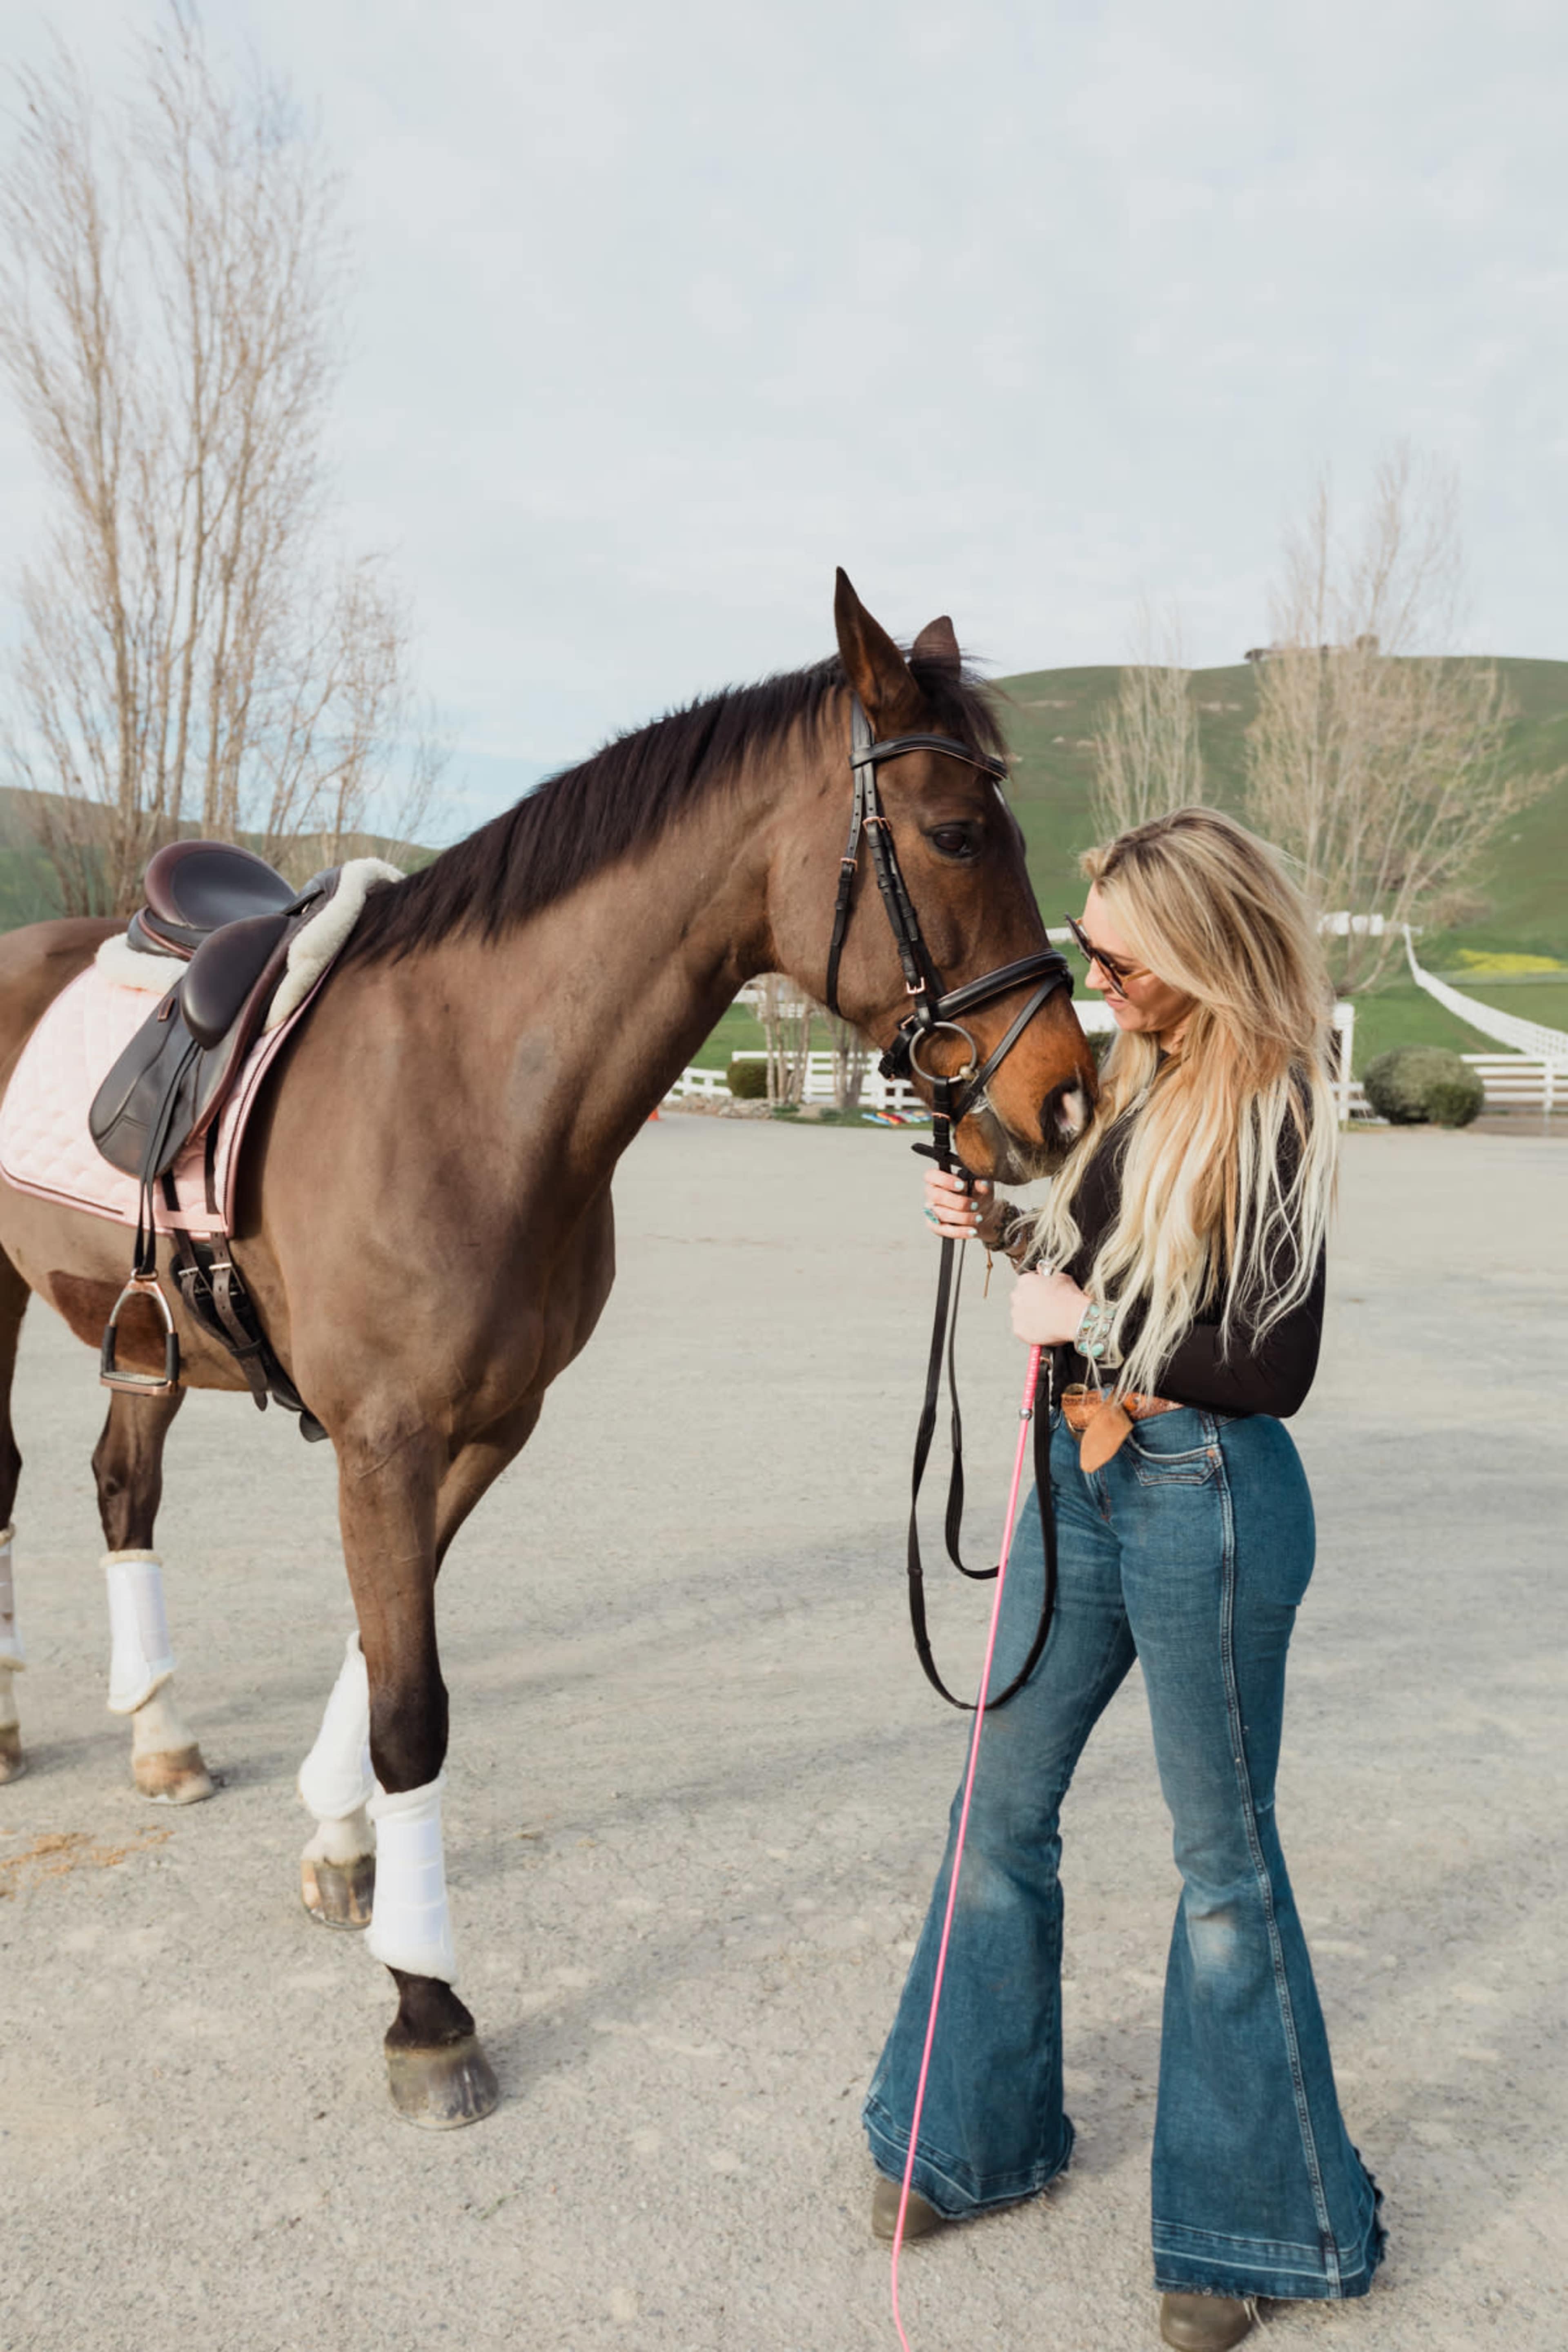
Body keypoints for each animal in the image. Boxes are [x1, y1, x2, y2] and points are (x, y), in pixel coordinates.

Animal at [0, 573, 1095, 2126]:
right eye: (953, 832)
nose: (1067, 1100)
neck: (475, 1083)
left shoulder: (485, 1427)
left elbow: (381, 1649)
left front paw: (342, 1848)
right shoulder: (385, 1442)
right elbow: (413, 1712)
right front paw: (426, 2007)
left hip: (138, 1329)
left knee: (121, 1486)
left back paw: (157, 1737)